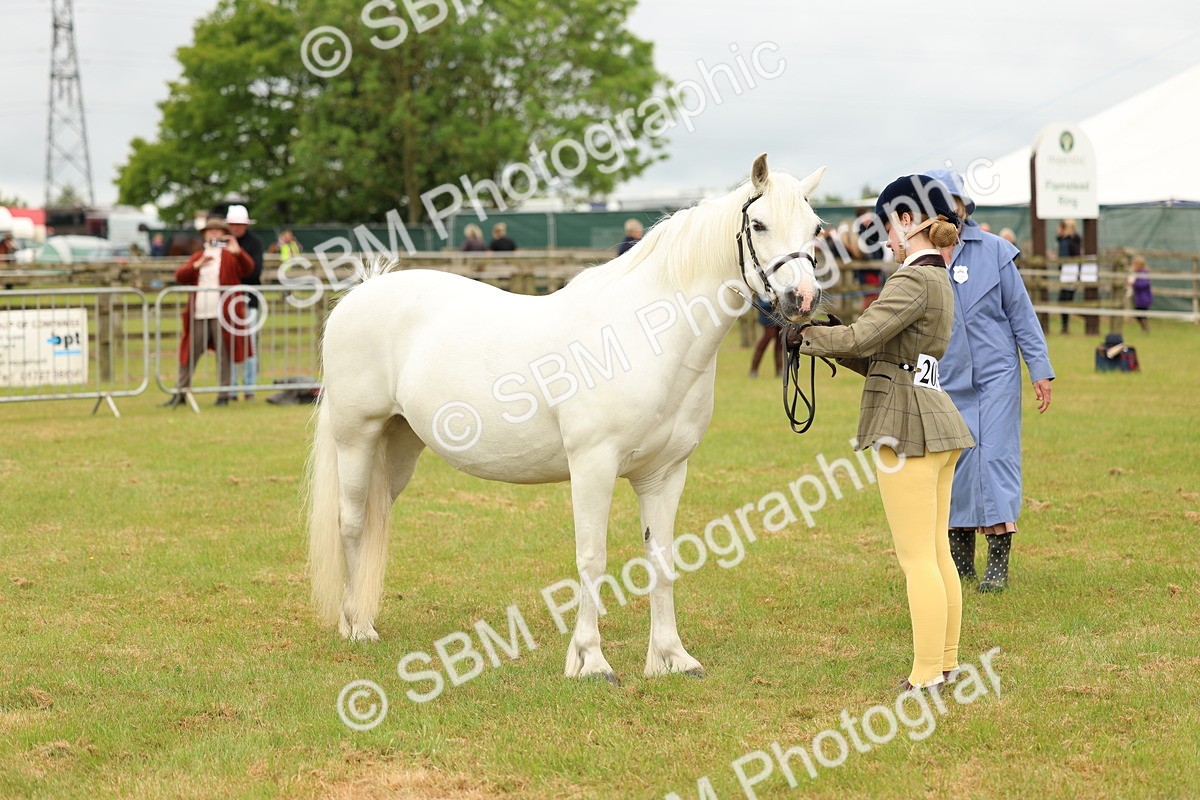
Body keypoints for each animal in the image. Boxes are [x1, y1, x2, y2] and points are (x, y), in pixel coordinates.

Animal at [308, 154, 827, 681]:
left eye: (816, 228)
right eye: (758, 225)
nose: (802, 299)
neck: (643, 336)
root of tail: (361, 294)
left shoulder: (665, 473)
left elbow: (661, 559)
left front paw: (671, 657)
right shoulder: (593, 466)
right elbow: (592, 558)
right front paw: (590, 660)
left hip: (399, 446)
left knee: (376, 519)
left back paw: (360, 619)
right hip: (357, 438)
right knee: (352, 523)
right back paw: (357, 628)